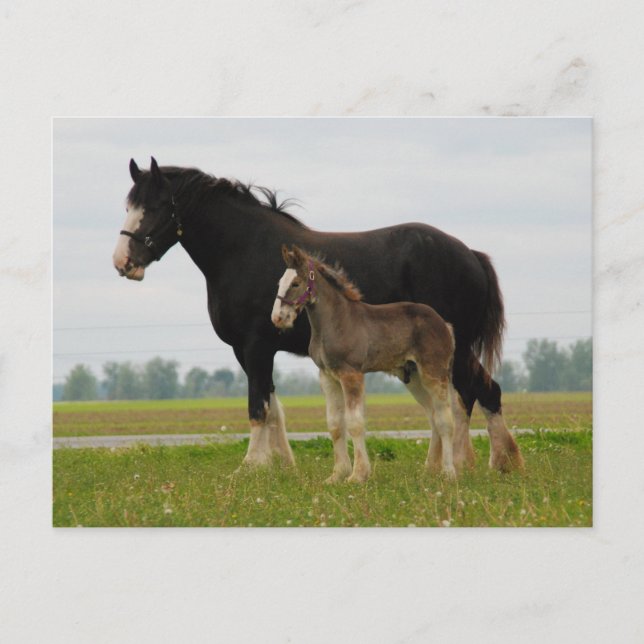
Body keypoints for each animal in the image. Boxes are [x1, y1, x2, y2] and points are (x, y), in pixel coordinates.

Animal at [272, 245, 459, 482]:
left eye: (295, 283)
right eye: (280, 282)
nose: (278, 318)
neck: (336, 321)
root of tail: (444, 324)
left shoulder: (351, 374)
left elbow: (355, 422)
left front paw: (358, 475)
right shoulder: (327, 376)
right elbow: (335, 424)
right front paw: (337, 475)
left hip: (433, 373)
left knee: (445, 419)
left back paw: (449, 472)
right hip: (414, 377)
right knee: (434, 416)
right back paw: (429, 470)